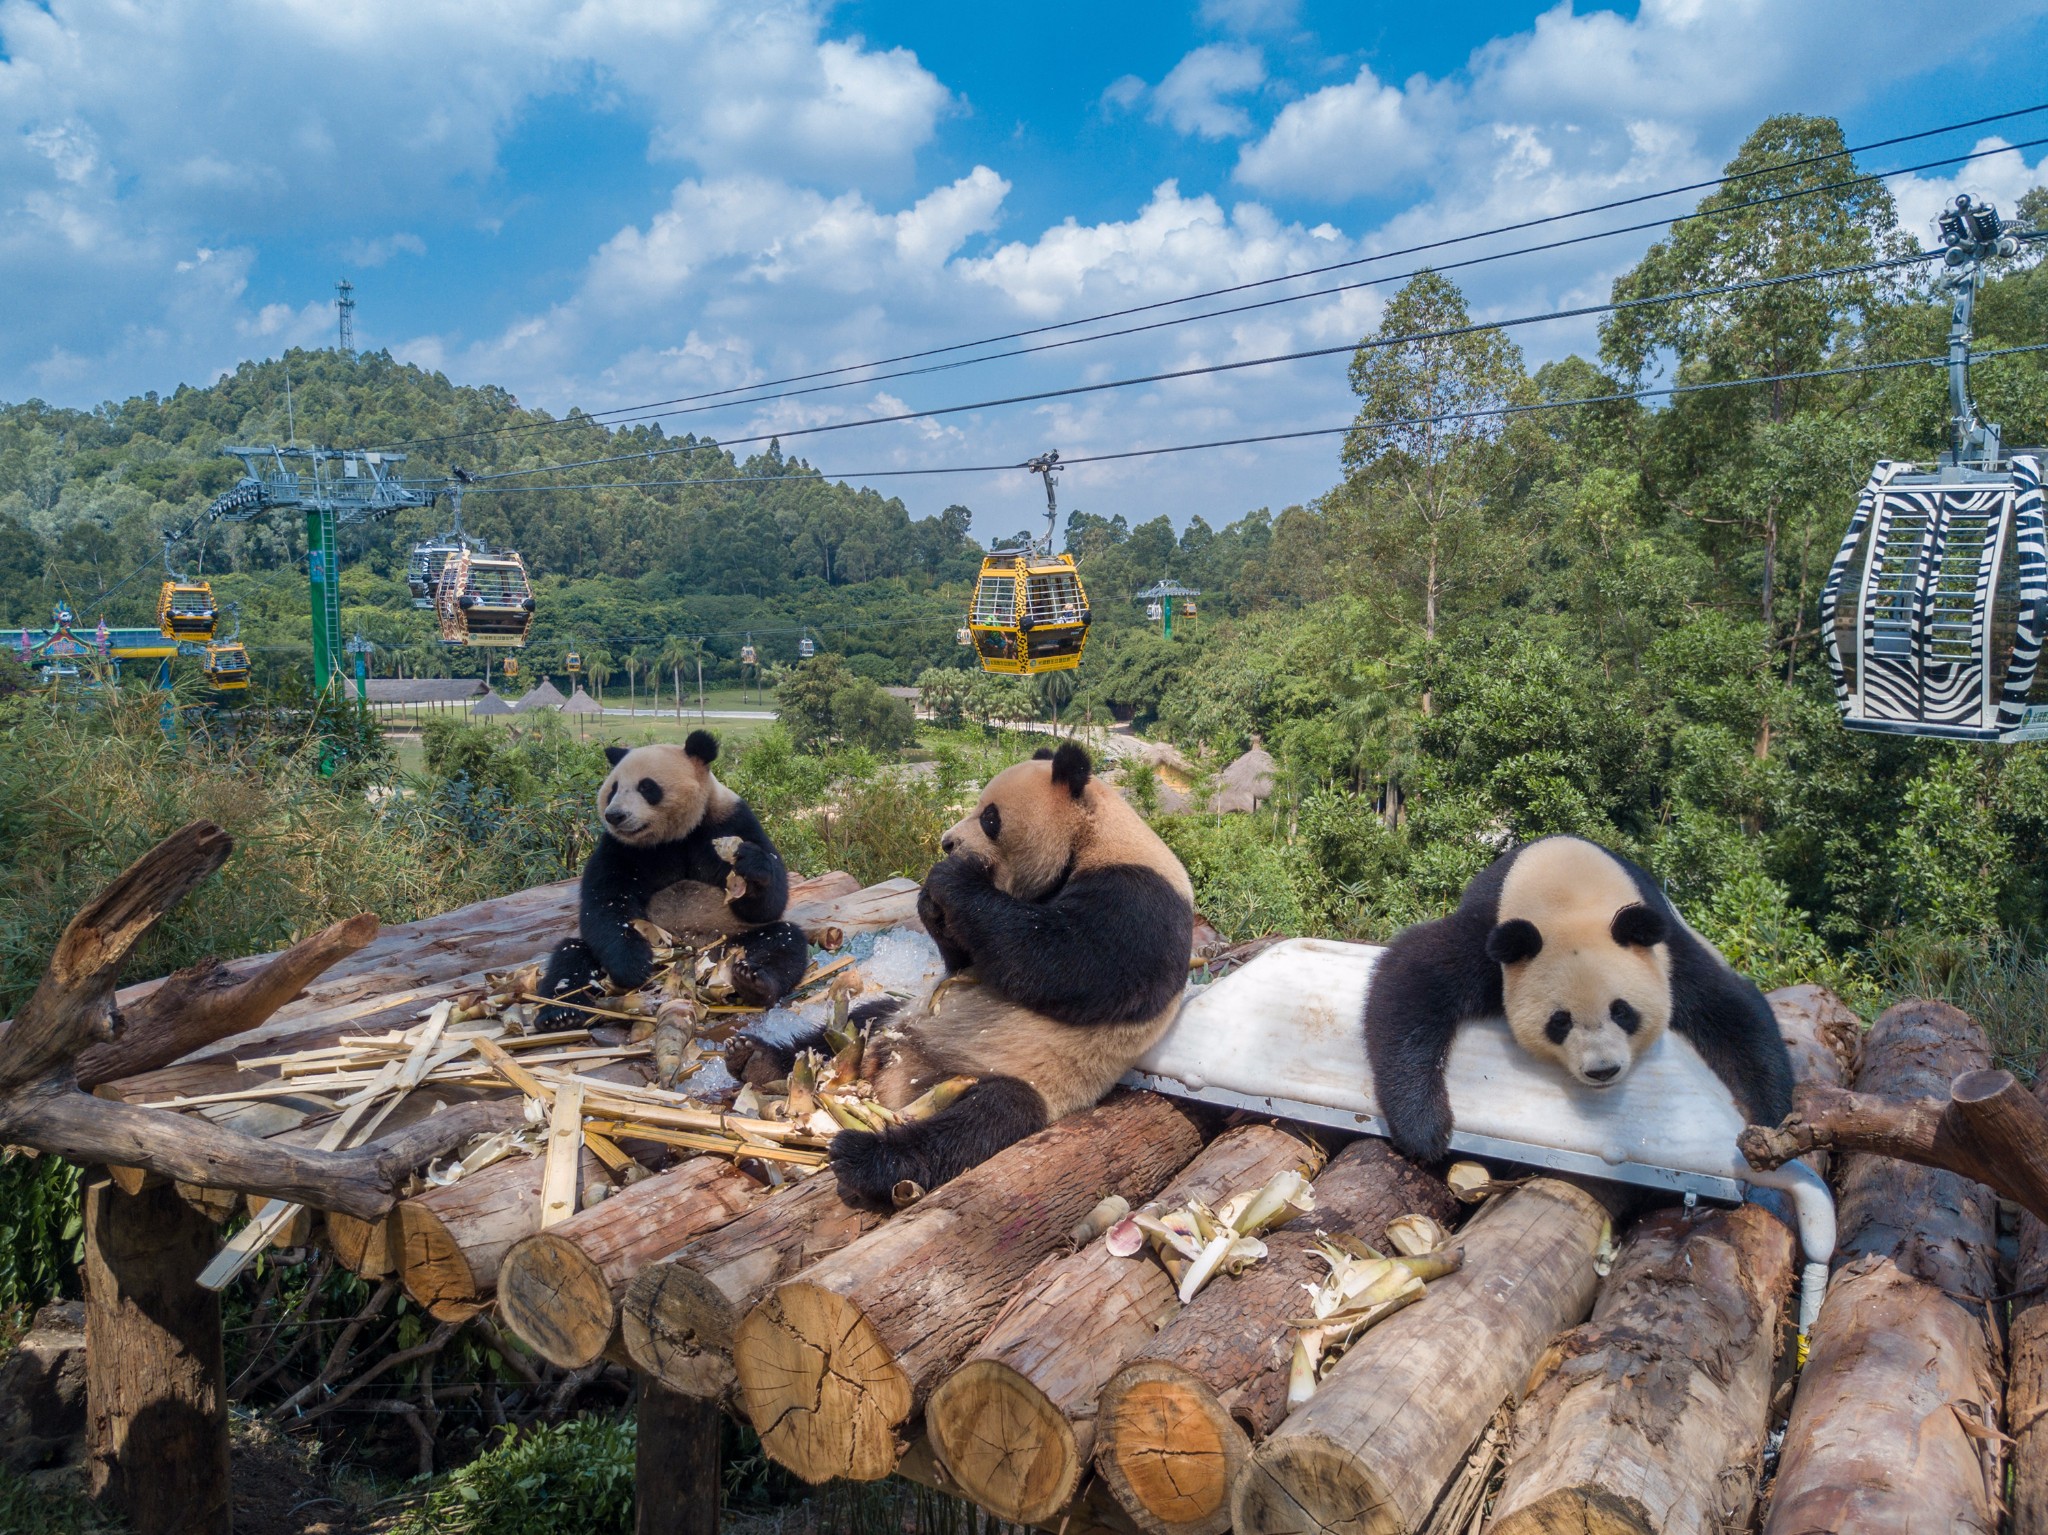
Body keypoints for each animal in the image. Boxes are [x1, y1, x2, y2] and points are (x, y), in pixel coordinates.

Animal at [536, 732, 806, 1023]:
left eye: (647, 787)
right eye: (613, 789)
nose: (615, 815)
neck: (676, 835)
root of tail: (695, 955)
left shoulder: (731, 820)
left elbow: (767, 905)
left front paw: (750, 865)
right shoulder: (619, 848)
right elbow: (605, 901)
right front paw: (633, 965)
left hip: (733, 937)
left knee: (783, 941)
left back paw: (754, 981)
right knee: (570, 957)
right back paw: (559, 1013)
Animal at [724, 744, 1196, 1211]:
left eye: (990, 817)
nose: (947, 843)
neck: (1094, 836)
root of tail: (891, 1081)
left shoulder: (1139, 899)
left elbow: (1068, 962)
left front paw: (951, 878)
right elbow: (966, 963)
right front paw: (931, 901)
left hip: (1013, 1077)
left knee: (981, 1122)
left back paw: (866, 1158)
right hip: (892, 1023)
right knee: (852, 1024)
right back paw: (756, 1057)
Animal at [1359, 843, 1794, 1162]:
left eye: (1622, 1011)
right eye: (1560, 1021)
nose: (1603, 1070)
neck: (1570, 895)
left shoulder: (1667, 951)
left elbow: (1730, 1009)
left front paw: (1770, 1125)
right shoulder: (1491, 936)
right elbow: (1414, 979)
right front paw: (1424, 1128)